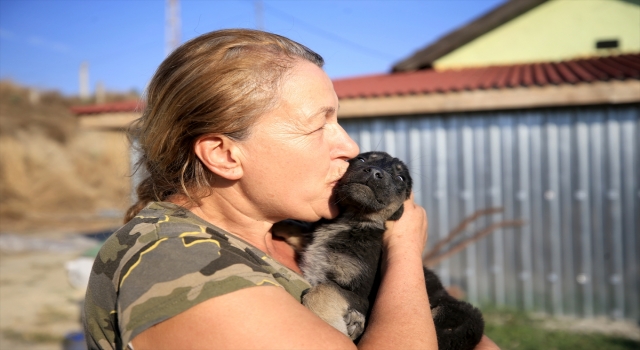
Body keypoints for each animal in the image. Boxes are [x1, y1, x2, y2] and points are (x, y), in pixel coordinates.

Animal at [276, 151, 484, 350]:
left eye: (400, 178)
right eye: (361, 159)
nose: (374, 173)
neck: (351, 220)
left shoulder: (361, 296)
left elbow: (322, 290)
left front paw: (333, 326)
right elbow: (305, 234)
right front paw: (282, 225)